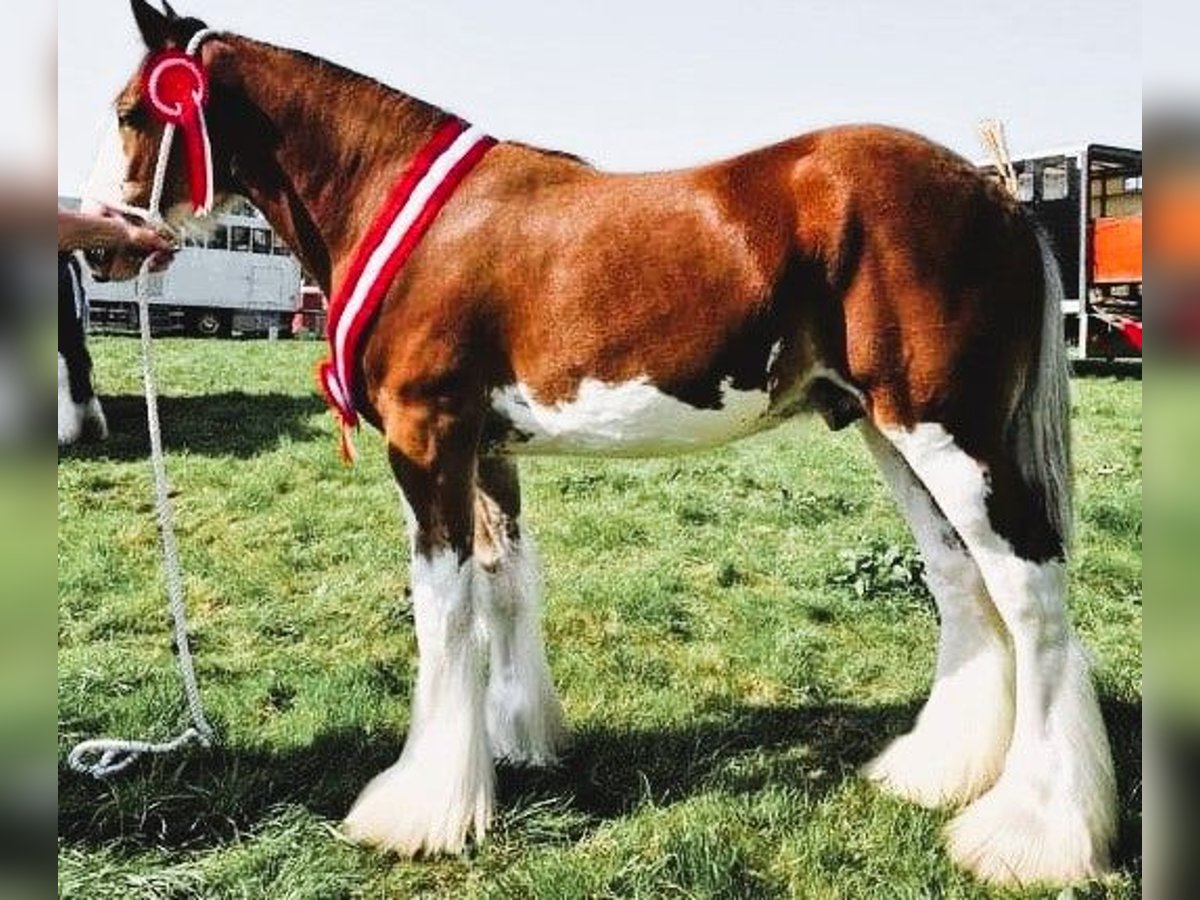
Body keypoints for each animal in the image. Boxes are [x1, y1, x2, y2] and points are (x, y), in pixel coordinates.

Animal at [84, 0, 1113, 888]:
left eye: (135, 112)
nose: (104, 244)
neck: (406, 212)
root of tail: (995, 194)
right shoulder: (487, 452)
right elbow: (503, 590)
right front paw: (513, 744)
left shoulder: (428, 441)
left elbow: (442, 613)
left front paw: (420, 809)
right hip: (886, 433)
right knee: (960, 579)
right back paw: (936, 774)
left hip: (949, 434)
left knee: (1030, 592)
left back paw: (1033, 835)